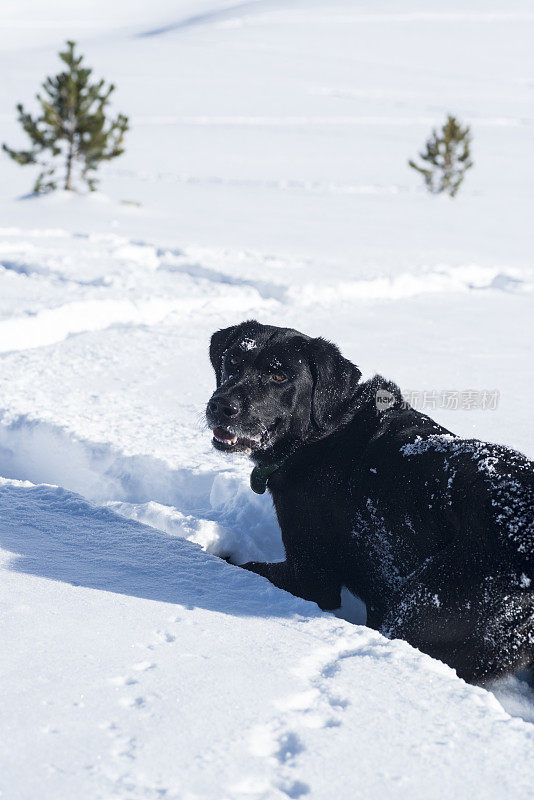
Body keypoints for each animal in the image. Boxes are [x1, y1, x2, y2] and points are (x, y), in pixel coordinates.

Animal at [207, 318, 532, 680]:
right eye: (233, 360)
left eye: (279, 376)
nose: (221, 406)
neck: (324, 431)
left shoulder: (311, 577)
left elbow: (243, 565)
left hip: (424, 604)